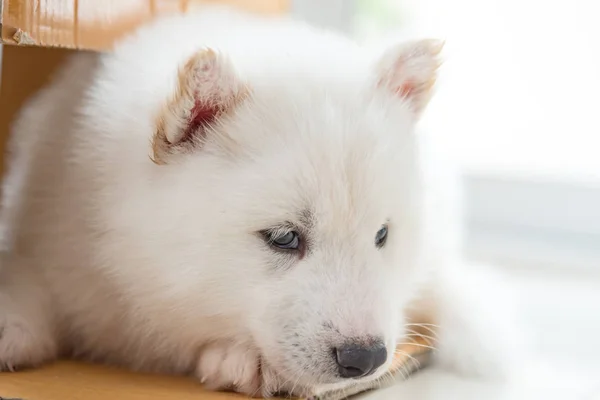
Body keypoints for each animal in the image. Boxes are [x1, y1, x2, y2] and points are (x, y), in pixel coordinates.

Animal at [0, 6, 516, 396]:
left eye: (382, 235)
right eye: (284, 238)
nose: (366, 357)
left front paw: (243, 359)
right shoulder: (48, 220)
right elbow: (28, 274)